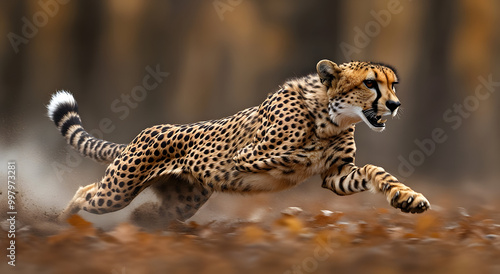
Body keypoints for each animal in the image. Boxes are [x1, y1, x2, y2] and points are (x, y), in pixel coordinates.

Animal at [47, 60, 430, 225]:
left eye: (393, 84)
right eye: (370, 83)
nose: (395, 105)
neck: (333, 116)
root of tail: (138, 136)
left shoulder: (336, 174)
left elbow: (372, 170)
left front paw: (407, 198)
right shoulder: (247, 156)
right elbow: (299, 153)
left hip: (182, 202)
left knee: (155, 212)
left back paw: (143, 217)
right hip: (116, 191)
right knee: (85, 192)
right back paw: (58, 223)